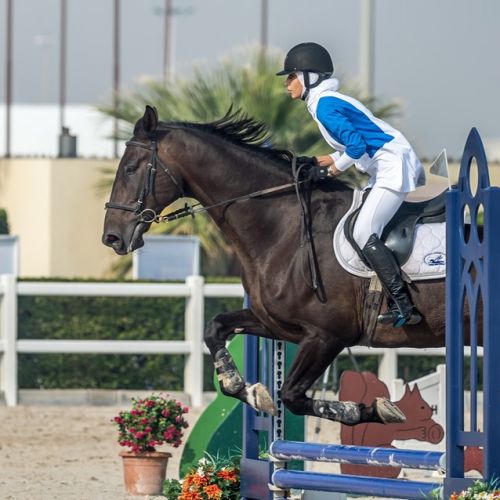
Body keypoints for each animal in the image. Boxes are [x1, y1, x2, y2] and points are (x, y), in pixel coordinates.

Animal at [102, 105, 465, 426]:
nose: (112, 237)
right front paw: (244, 388)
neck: (283, 226)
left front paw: (373, 409)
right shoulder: (278, 324)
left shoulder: (326, 336)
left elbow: (292, 395)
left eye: (131, 168)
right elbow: (215, 328)